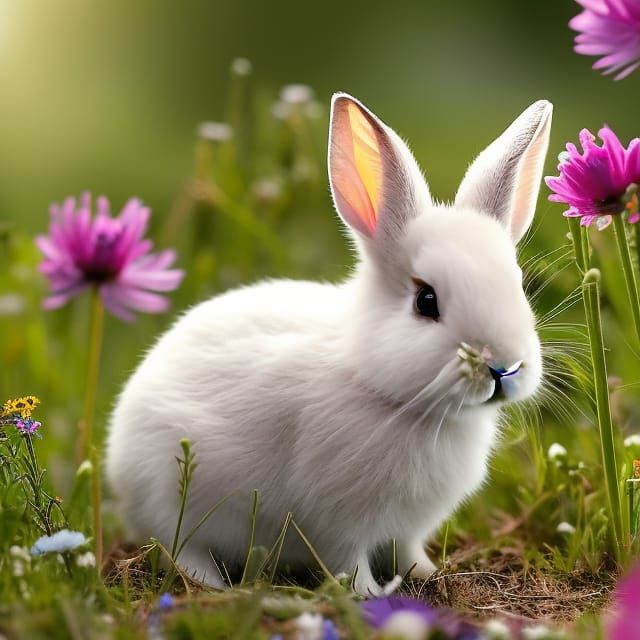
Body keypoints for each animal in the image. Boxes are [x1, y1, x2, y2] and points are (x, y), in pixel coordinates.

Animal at [105, 92, 552, 596]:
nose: (504, 367)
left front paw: (428, 574)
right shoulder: (336, 522)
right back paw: (215, 584)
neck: (393, 398)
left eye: (518, 286)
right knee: (178, 546)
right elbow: (349, 561)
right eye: (426, 301)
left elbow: (407, 551)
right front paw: (370, 595)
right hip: (169, 490)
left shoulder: (408, 527)